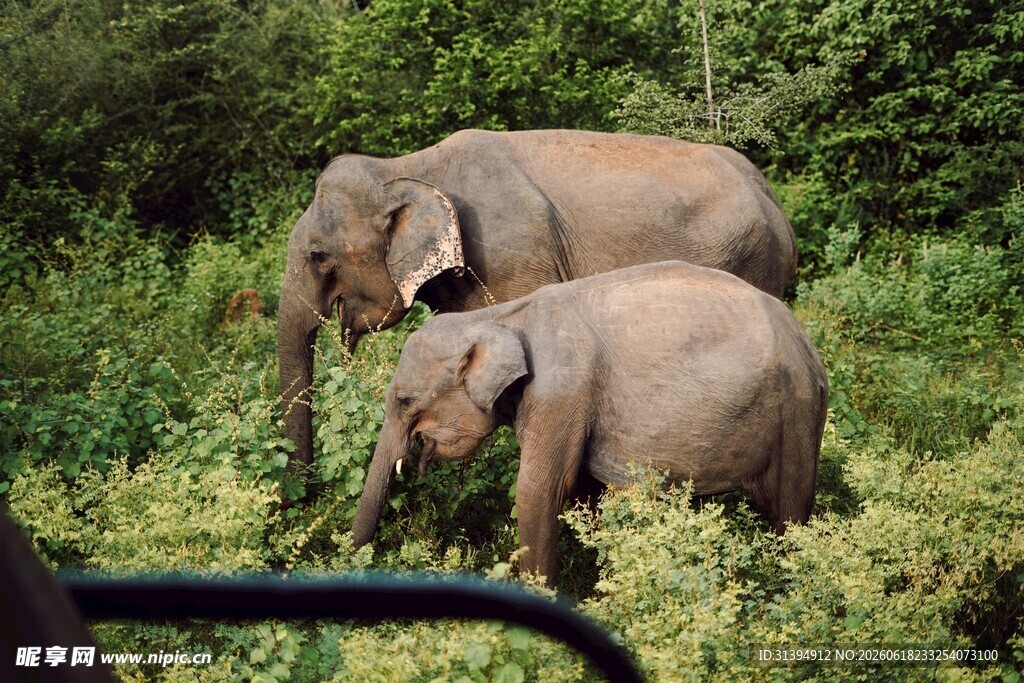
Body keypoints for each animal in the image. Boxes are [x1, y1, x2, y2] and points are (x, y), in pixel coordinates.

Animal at [279, 128, 797, 467]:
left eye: (317, 255)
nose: (306, 491)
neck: (405, 167)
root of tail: (773, 198)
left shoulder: (513, 258)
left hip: (751, 260)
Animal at [350, 261, 828, 586]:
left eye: (404, 400)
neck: (497, 317)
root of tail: (806, 341)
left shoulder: (561, 393)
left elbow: (539, 490)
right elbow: (584, 493)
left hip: (795, 412)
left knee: (790, 512)